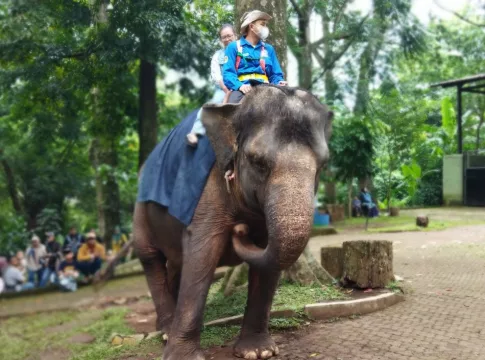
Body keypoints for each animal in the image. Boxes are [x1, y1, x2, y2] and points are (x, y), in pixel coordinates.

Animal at [133, 85, 332, 360]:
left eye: (323, 164)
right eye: (257, 162)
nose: (241, 229)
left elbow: (268, 262)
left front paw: (258, 351)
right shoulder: (210, 187)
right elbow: (203, 251)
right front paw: (183, 357)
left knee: (175, 264)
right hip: (140, 211)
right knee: (151, 259)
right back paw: (165, 331)